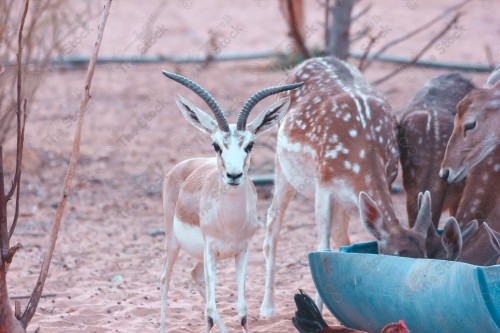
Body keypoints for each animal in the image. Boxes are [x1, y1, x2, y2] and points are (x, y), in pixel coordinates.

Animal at [160, 70, 300, 332]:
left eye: (250, 145)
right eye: (216, 145)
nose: (234, 175)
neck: (229, 222)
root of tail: (183, 165)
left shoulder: (242, 251)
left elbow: (242, 311)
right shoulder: (210, 249)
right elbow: (208, 313)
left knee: (195, 276)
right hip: (174, 242)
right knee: (166, 278)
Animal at [262, 55, 434, 316]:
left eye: (424, 256)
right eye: (395, 256)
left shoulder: (383, 179)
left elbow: (340, 240)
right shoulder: (323, 182)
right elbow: (322, 247)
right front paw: (318, 312)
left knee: (341, 234)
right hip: (282, 164)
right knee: (273, 219)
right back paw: (267, 308)